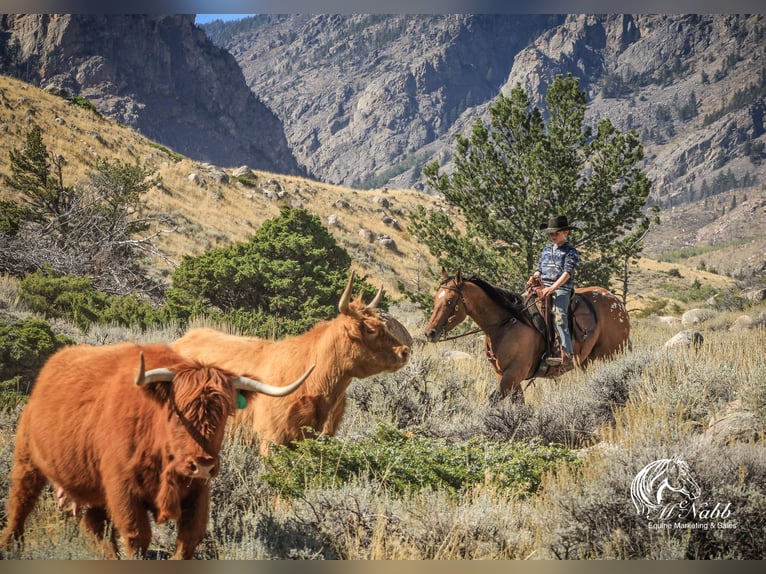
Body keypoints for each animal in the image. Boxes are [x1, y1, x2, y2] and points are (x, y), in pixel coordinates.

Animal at [0, 344, 312, 560]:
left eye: (224, 413)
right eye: (178, 412)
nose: (202, 465)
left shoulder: (198, 492)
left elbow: (189, 539)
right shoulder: (123, 490)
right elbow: (137, 537)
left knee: (95, 527)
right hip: (27, 459)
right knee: (20, 504)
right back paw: (9, 546)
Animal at [426, 272, 632, 402]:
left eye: (450, 301)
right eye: (436, 298)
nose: (430, 333)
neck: (507, 323)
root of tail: (618, 304)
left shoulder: (513, 374)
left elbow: (493, 400)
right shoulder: (506, 376)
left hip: (609, 355)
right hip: (588, 360)